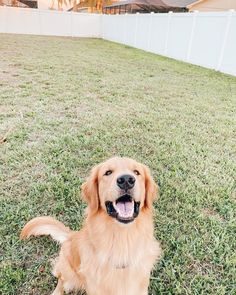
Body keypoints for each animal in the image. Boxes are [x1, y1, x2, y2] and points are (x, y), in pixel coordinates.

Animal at [20, 157, 160, 295]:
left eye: (136, 172)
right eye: (108, 172)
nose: (126, 180)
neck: (122, 239)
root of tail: (71, 236)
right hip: (68, 272)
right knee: (60, 278)